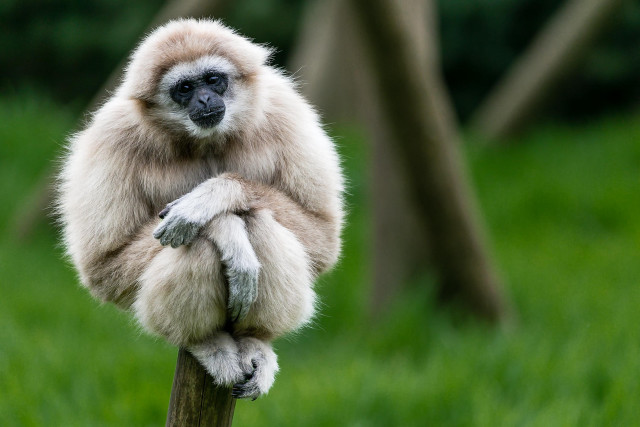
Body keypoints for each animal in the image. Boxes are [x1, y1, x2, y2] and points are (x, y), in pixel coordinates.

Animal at [58, 19, 344, 400]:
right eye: (185, 88)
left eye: (212, 79)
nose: (206, 98)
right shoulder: (112, 137)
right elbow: (103, 266)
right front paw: (222, 228)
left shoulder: (286, 110)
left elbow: (323, 237)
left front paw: (212, 197)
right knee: (198, 243)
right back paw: (206, 340)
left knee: (258, 219)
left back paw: (255, 340)